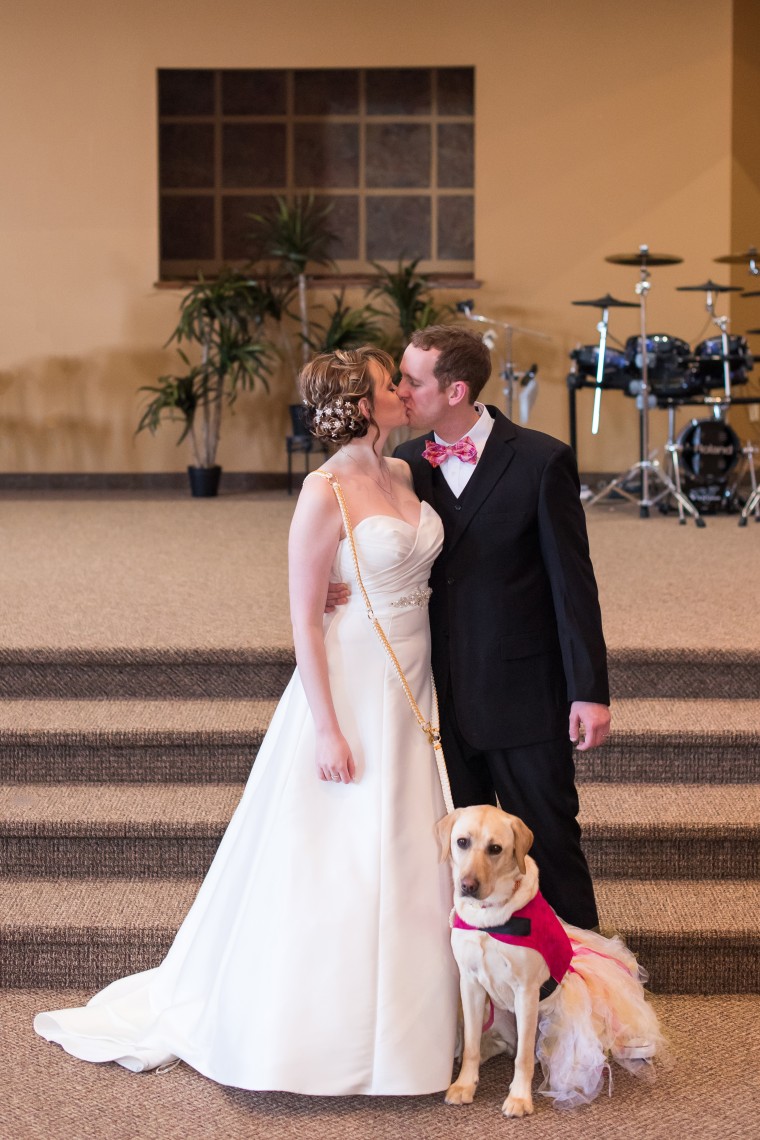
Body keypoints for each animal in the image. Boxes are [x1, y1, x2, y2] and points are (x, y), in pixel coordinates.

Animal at [439, 807, 665, 1117]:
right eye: (462, 842)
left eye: (495, 848)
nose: (468, 886)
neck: (490, 920)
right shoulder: (470, 984)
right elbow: (472, 1044)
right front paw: (464, 1085)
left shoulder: (526, 991)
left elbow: (523, 1057)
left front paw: (519, 1098)